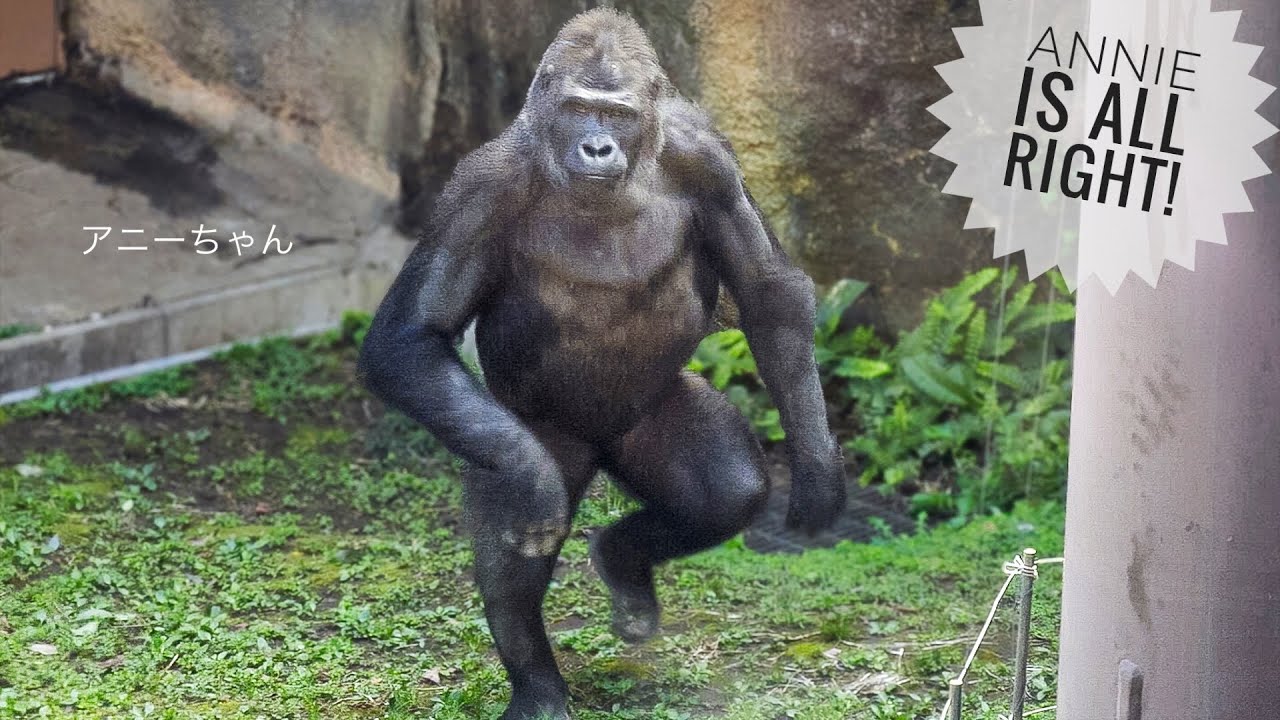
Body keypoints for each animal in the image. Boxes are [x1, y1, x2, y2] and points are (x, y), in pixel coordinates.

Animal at [358, 9, 847, 719]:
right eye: (576, 109)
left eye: (615, 114)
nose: (595, 147)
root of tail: (600, 447)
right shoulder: (480, 187)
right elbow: (411, 338)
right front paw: (530, 477)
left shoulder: (709, 157)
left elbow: (766, 291)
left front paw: (816, 465)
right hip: (527, 425)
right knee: (514, 548)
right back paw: (537, 685)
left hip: (648, 415)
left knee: (723, 493)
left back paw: (622, 561)